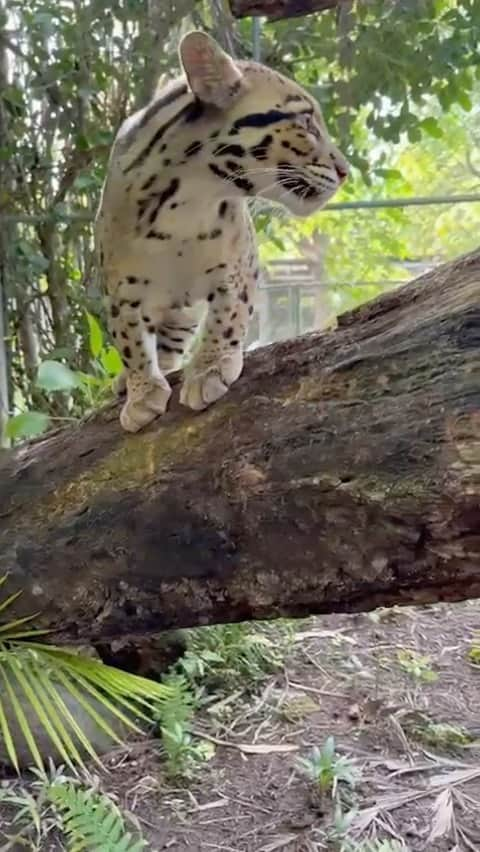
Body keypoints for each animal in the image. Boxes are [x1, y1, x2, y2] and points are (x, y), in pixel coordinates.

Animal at [95, 31, 348, 432]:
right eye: (307, 122)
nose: (345, 171)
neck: (188, 201)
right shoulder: (119, 289)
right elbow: (130, 339)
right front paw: (141, 390)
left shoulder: (240, 268)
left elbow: (228, 316)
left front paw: (209, 369)